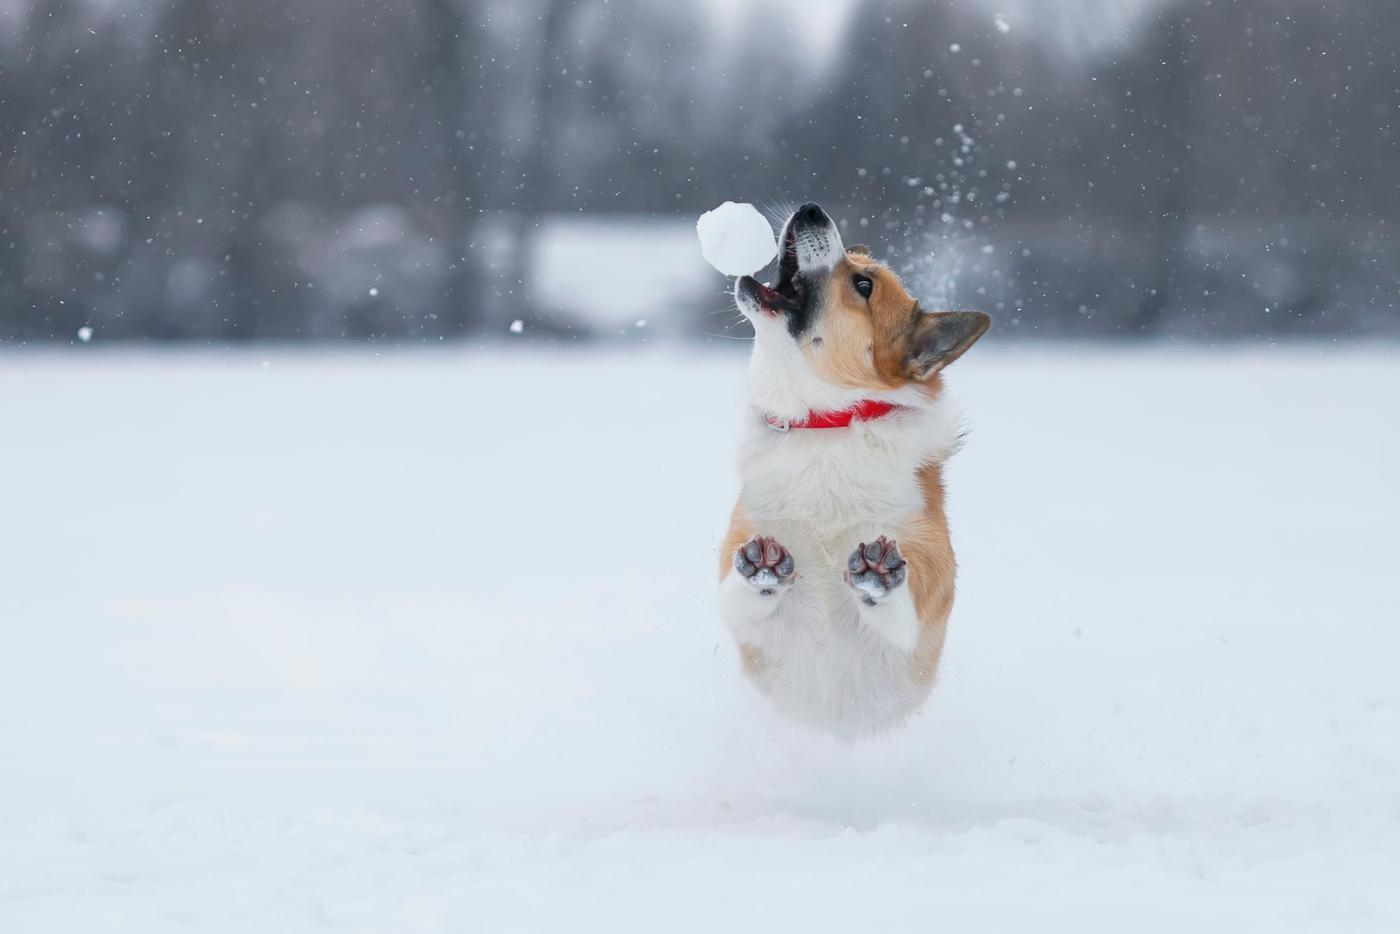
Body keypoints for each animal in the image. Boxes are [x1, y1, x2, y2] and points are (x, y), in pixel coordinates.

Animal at [716, 203, 991, 739]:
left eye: (864, 285)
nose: (811, 209)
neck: (828, 425)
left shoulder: (926, 581)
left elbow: (908, 604)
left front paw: (879, 575)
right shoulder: (743, 546)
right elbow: (736, 594)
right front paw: (761, 572)